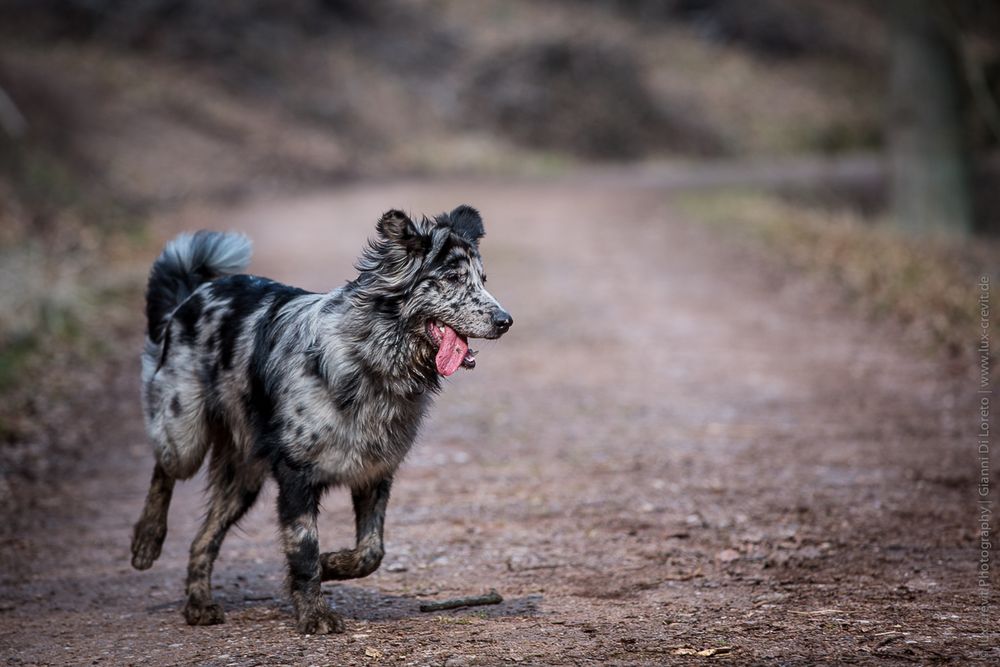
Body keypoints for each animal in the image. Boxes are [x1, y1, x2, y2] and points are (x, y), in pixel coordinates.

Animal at [129, 206, 512, 636]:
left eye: (483, 280)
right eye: (453, 279)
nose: (505, 320)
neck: (371, 362)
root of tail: (193, 294)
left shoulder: (374, 471)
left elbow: (371, 552)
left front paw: (331, 564)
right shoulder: (296, 476)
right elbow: (304, 547)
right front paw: (314, 613)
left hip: (243, 478)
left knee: (203, 538)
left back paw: (198, 604)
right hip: (185, 434)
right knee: (164, 469)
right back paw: (146, 541)